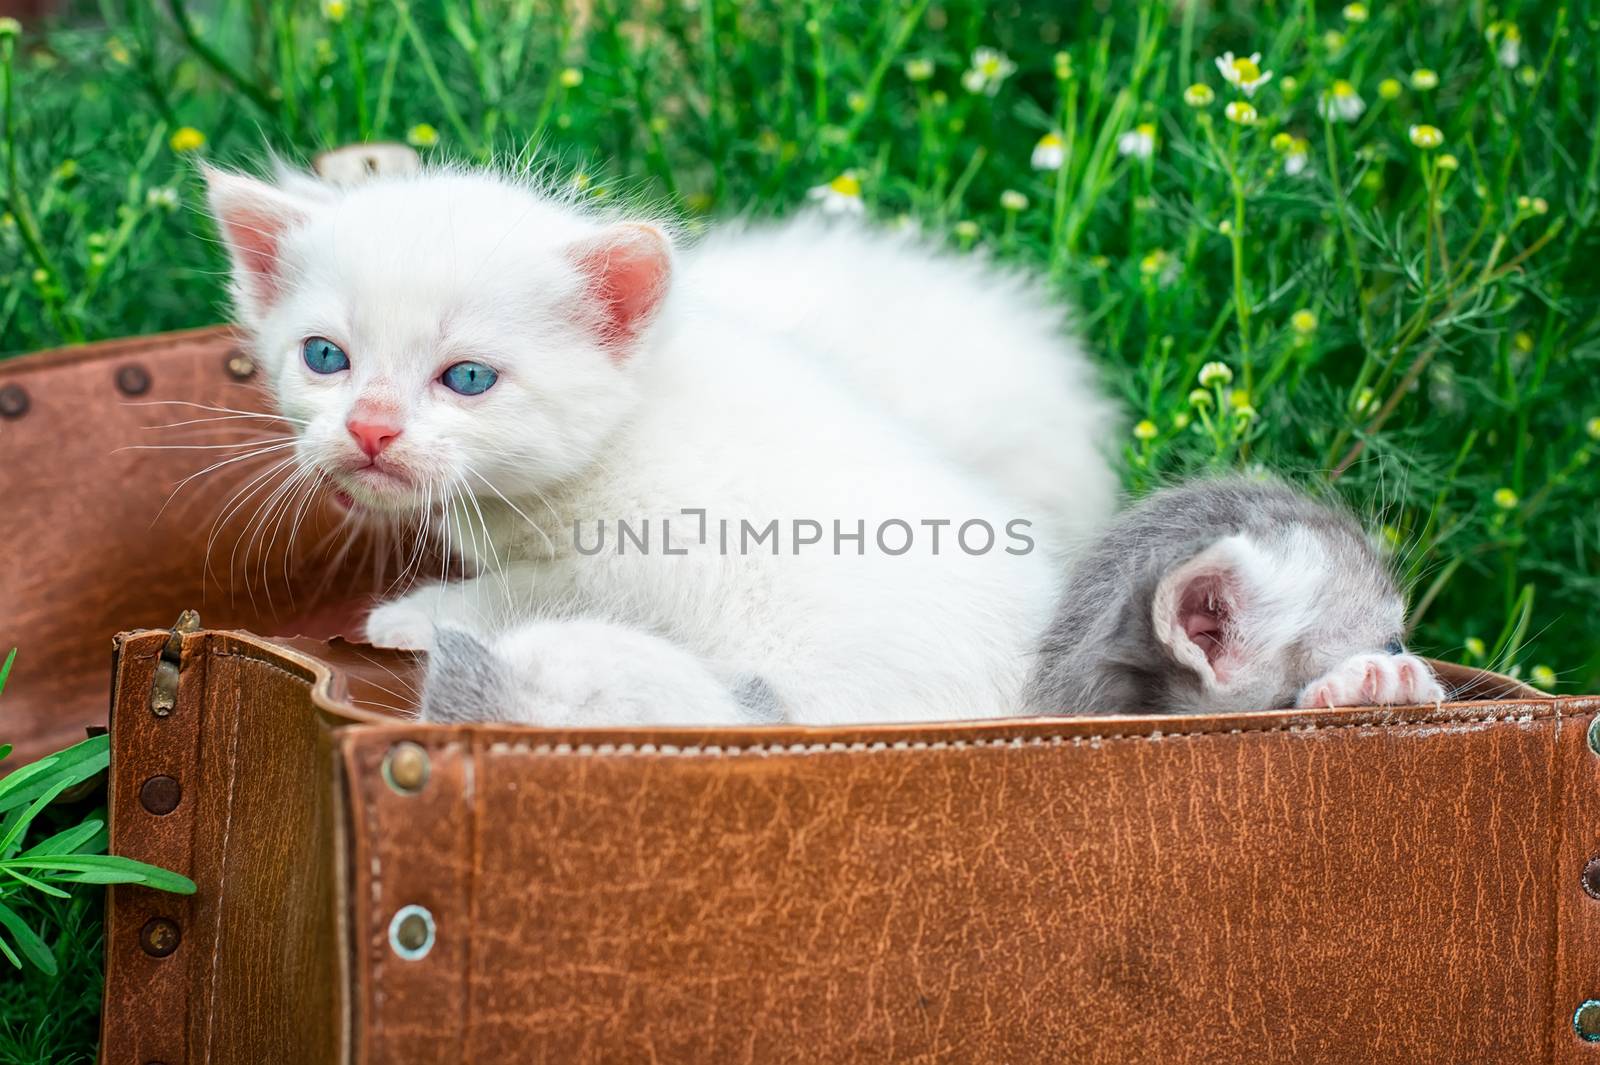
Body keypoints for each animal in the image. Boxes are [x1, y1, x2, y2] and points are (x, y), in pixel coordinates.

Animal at [206, 166, 1120, 725]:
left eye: (467, 377)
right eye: (325, 357)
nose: (371, 427)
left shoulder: (644, 560)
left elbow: (539, 591)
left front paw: (419, 613)